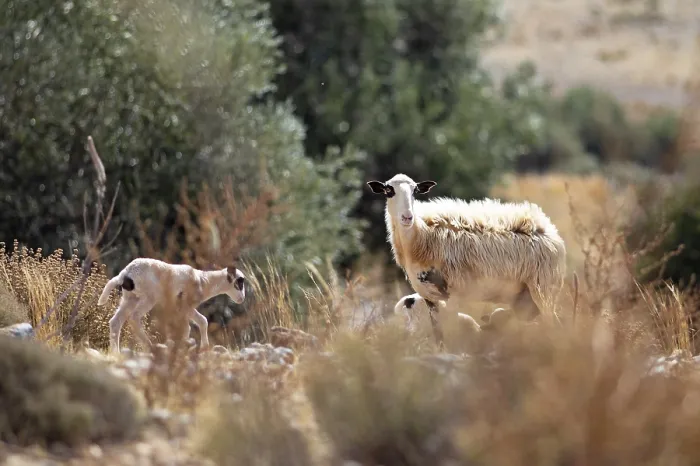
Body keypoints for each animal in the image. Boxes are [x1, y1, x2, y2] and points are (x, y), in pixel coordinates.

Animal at [97, 258, 246, 355]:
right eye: (239, 282)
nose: (242, 299)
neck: (203, 281)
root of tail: (125, 274)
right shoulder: (185, 307)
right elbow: (200, 322)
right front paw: (201, 348)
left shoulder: (180, 310)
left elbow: (192, 325)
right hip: (149, 298)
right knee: (134, 318)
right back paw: (150, 347)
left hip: (130, 299)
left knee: (115, 322)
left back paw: (115, 352)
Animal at [368, 173, 566, 341]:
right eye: (389, 191)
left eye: (415, 191)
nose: (407, 217)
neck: (421, 236)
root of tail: (548, 229)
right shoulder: (429, 297)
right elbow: (439, 337)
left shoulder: (453, 295)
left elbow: (453, 333)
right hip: (525, 301)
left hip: (543, 289)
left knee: (554, 325)